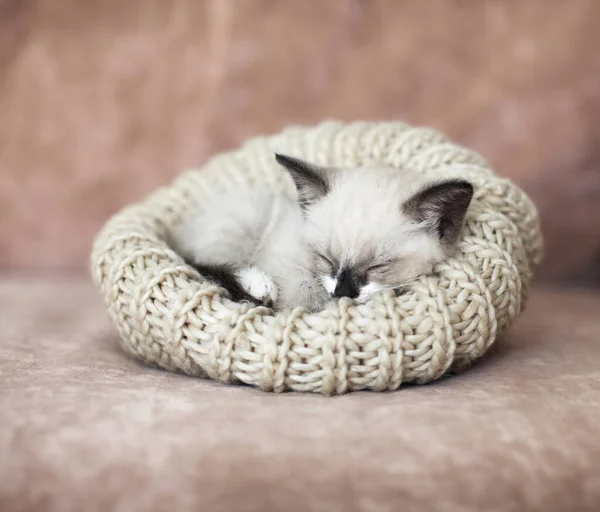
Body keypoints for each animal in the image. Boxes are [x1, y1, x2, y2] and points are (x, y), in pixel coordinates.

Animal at [173, 153, 474, 312]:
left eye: (378, 266)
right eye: (326, 258)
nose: (342, 292)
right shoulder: (291, 271)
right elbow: (304, 297)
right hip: (249, 215)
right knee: (203, 264)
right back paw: (258, 286)